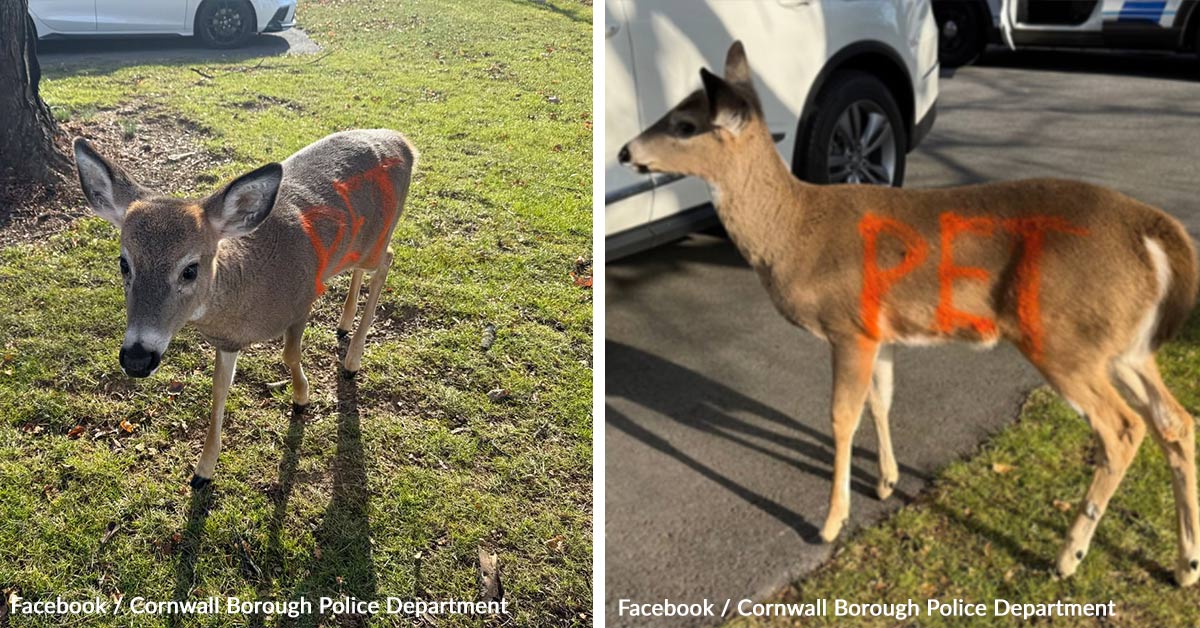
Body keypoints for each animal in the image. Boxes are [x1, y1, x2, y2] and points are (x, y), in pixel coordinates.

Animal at [73, 129, 416, 490]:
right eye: (124, 263)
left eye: (190, 269)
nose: (137, 358)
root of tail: (403, 142)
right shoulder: (227, 341)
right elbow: (219, 390)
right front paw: (203, 469)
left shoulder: (302, 298)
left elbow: (289, 354)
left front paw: (302, 398)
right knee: (363, 269)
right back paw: (344, 325)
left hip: (378, 236)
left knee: (388, 258)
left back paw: (351, 360)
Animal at [619, 41, 1200, 586]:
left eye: (685, 124)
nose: (625, 151)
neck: (795, 232)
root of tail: (1153, 231)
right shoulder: (882, 332)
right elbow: (882, 400)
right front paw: (886, 482)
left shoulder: (848, 326)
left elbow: (841, 417)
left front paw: (831, 521)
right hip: (1126, 346)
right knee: (1176, 420)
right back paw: (1185, 565)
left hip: (1063, 337)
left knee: (1123, 428)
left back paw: (1069, 556)